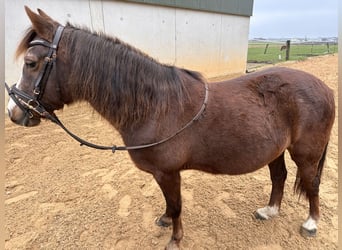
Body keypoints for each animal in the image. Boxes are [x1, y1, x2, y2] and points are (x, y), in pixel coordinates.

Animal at [7, 6, 334, 249]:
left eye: (31, 62)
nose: (14, 112)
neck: (155, 106)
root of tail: (324, 88)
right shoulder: (160, 173)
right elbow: (168, 203)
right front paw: (164, 220)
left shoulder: (169, 172)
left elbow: (177, 205)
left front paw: (175, 240)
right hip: (276, 150)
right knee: (279, 176)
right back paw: (270, 210)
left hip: (306, 153)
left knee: (312, 182)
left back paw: (311, 223)